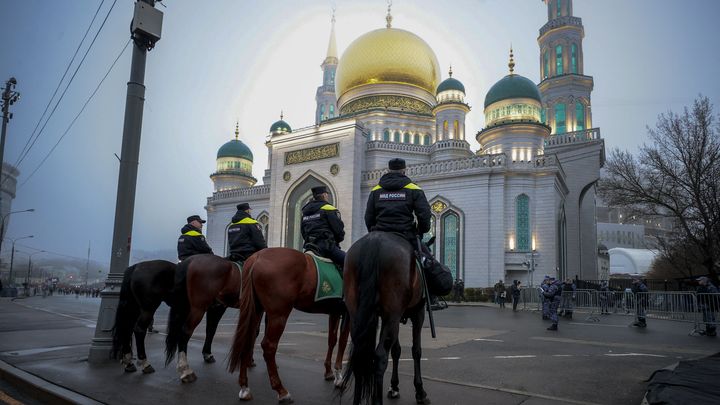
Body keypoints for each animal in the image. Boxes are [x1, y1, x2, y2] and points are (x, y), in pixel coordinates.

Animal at [226, 248, 348, 402]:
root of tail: (257, 257)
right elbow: (343, 342)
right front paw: (339, 377)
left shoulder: (335, 312)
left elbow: (332, 341)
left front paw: (329, 372)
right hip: (279, 315)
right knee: (269, 347)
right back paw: (281, 391)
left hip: (256, 310)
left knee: (248, 340)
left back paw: (245, 388)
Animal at [338, 230, 428, 404]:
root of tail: (374, 242)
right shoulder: (417, 313)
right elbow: (416, 350)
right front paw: (420, 391)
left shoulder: (396, 318)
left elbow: (397, 350)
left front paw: (394, 386)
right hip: (392, 314)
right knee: (380, 357)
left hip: (358, 313)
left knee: (359, 354)